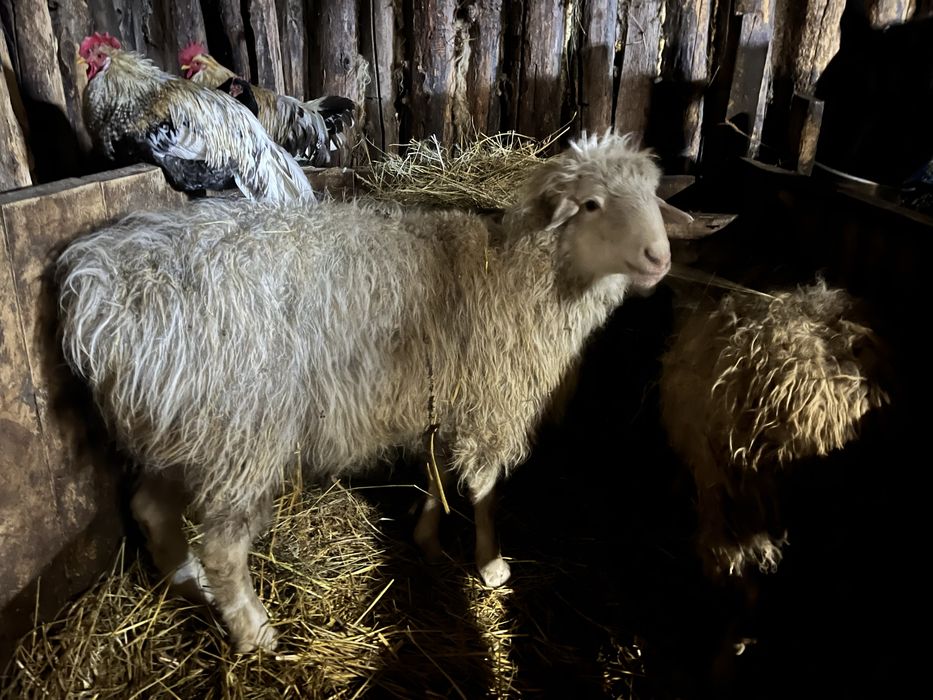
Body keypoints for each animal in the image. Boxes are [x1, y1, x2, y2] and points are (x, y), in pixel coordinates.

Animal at [57, 131, 693, 653]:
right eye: (591, 204)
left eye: (651, 197)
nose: (659, 257)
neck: (518, 278)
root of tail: (103, 285)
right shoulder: (490, 400)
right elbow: (484, 488)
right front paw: (490, 563)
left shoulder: (441, 396)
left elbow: (436, 471)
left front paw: (427, 535)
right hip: (240, 429)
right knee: (223, 547)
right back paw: (254, 631)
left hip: (175, 421)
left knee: (150, 507)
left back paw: (187, 584)